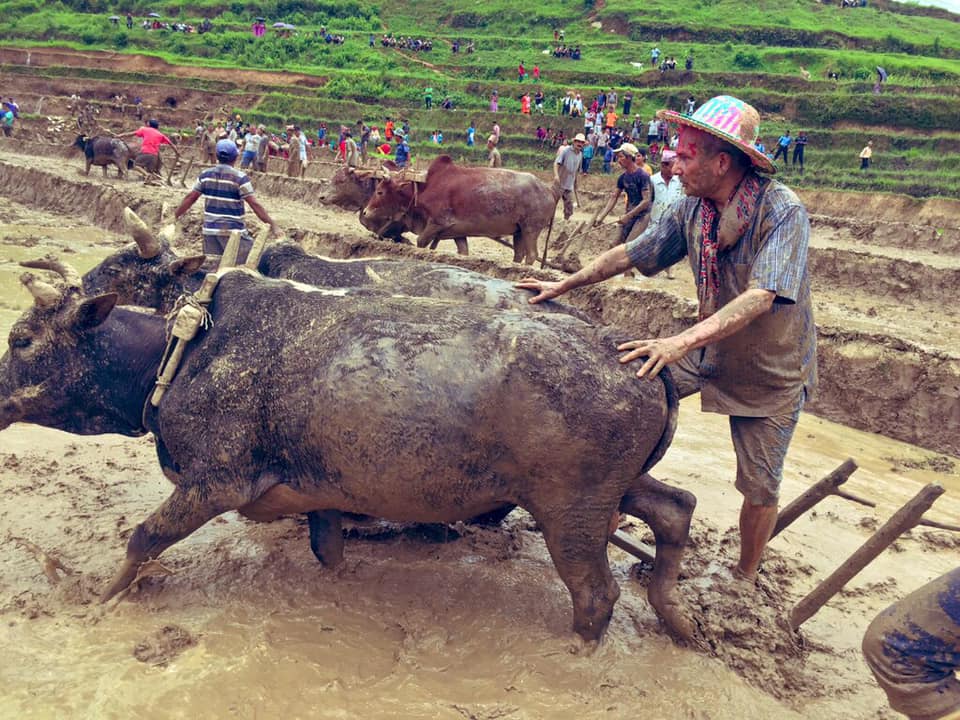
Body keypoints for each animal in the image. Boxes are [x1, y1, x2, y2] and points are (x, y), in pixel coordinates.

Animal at [0, 264, 692, 640]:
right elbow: (326, 549)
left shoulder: (214, 482)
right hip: (612, 491)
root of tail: (636, 356)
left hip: (571, 510)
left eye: (23, 338)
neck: (181, 353)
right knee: (675, 508)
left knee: (596, 594)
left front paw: (100, 600)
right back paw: (676, 616)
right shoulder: (320, 492)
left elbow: (142, 539)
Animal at [360, 155, 560, 264]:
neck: (425, 186)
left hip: (531, 228)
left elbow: (421, 242)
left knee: (532, 255)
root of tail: (549, 190)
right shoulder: (457, 232)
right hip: (518, 231)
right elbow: (463, 252)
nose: (365, 212)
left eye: (379, 191)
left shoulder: (437, 223)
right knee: (519, 254)